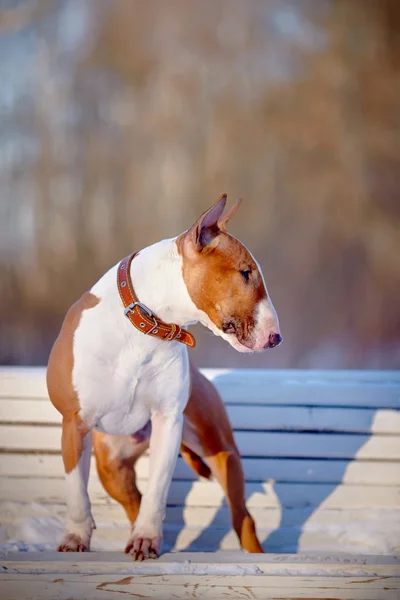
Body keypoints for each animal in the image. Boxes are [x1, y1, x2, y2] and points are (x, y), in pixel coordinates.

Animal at [47, 195, 282, 560]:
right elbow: (76, 490)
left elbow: (158, 488)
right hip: (111, 465)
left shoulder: (167, 421)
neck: (146, 326)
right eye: (245, 273)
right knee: (133, 500)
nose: (276, 337)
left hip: (221, 452)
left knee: (242, 517)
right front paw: (75, 538)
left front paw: (146, 537)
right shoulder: (74, 423)